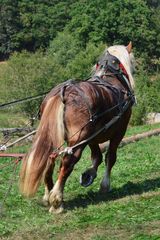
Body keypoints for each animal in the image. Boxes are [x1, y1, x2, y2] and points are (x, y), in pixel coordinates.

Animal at [19, 42, 136, 213]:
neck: (110, 77)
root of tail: (64, 91)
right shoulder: (119, 132)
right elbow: (110, 157)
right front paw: (104, 185)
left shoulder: (92, 136)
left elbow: (97, 156)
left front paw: (88, 175)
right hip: (79, 138)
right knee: (68, 161)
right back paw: (56, 199)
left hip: (61, 136)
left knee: (50, 158)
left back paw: (48, 194)